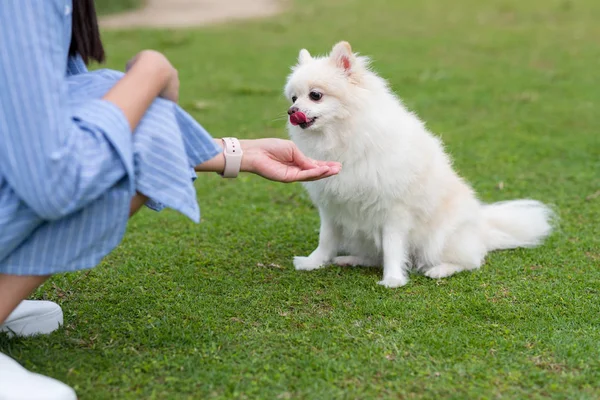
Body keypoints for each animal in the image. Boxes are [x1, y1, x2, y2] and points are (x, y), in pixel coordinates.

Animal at [284, 40, 556, 288]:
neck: (342, 135)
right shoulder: (331, 205)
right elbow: (326, 239)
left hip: (438, 239)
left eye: (315, 95)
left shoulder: (393, 209)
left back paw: (440, 269)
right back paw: (351, 259)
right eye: (294, 97)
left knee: (471, 261)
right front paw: (313, 262)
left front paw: (393, 279)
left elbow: (393, 246)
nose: (292, 111)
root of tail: (483, 228)